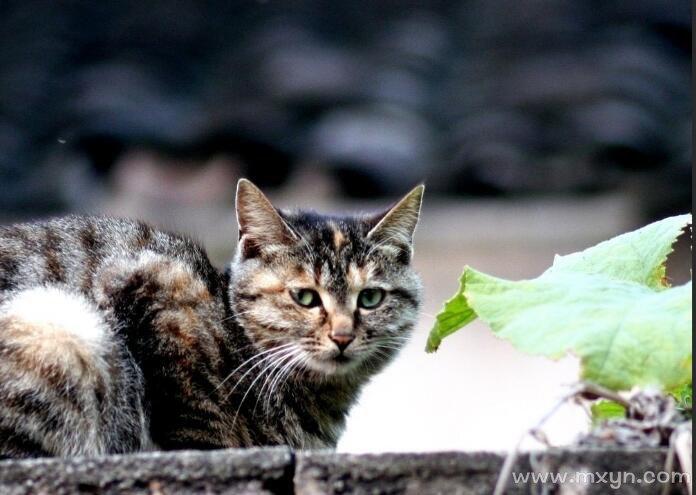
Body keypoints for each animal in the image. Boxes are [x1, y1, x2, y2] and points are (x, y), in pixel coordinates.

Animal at [0, 177, 424, 458]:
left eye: (370, 298)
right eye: (305, 297)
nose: (343, 336)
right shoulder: (159, 294)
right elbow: (200, 426)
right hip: (62, 329)